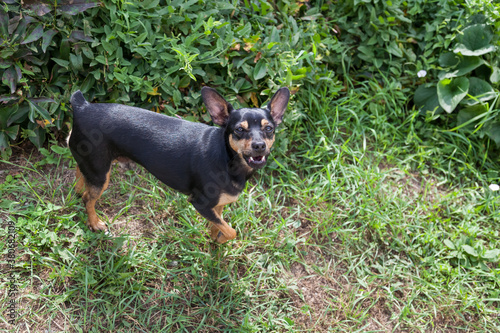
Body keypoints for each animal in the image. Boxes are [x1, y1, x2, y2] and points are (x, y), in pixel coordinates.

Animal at [68, 87, 292, 243]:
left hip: (94, 163)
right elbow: (231, 231)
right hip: (101, 173)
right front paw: (220, 238)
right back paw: (94, 223)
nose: (259, 145)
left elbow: (220, 222)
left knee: (80, 171)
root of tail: (82, 106)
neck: (227, 158)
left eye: (269, 129)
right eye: (239, 130)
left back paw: (78, 188)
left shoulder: (217, 204)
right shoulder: (200, 203)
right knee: (89, 198)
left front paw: (214, 237)